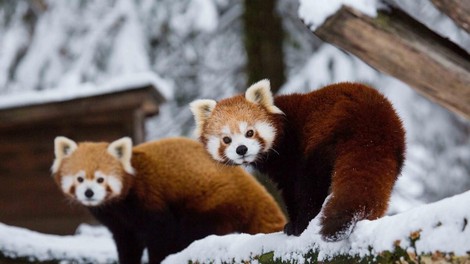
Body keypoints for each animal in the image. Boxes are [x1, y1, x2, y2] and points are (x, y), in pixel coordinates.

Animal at [51, 136, 286, 264]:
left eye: (100, 179)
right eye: (80, 179)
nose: (89, 192)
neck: (117, 206)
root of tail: (251, 185)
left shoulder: (148, 197)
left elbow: (161, 234)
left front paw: (159, 259)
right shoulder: (119, 224)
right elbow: (127, 243)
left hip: (213, 202)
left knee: (194, 231)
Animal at [189, 80, 406, 241]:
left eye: (249, 132)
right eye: (226, 139)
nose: (241, 149)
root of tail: (371, 126)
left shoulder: (291, 155)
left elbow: (295, 190)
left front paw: (293, 225)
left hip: (323, 137)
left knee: (312, 185)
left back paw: (303, 224)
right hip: (394, 151)